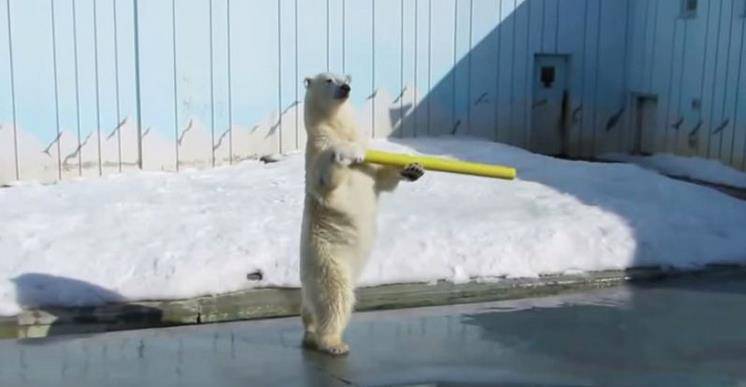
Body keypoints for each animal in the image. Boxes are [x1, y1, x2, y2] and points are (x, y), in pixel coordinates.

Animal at [298, 73, 424, 358]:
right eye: (328, 79)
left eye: (345, 77)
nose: (345, 87)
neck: (339, 128)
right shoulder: (318, 147)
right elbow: (326, 180)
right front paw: (346, 153)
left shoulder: (367, 153)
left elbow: (381, 178)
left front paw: (412, 168)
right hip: (328, 257)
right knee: (336, 297)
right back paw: (333, 342)